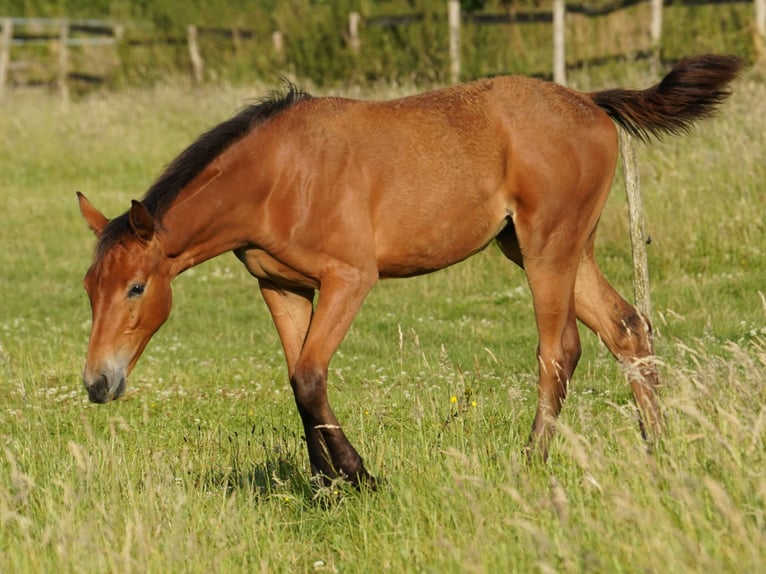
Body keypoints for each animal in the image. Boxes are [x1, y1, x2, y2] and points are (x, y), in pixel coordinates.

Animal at [79, 54, 744, 488]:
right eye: (90, 290)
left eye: (136, 287)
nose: (96, 384)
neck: (278, 176)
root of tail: (591, 102)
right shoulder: (281, 287)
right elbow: (297, 379)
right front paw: (325, 483)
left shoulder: (349, 279)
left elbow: (311, 377)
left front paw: (357, 476)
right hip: (551, 247)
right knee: (629, 328)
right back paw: (659, 451)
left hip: (548, 248)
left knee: (560, 351)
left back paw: (530, 465)